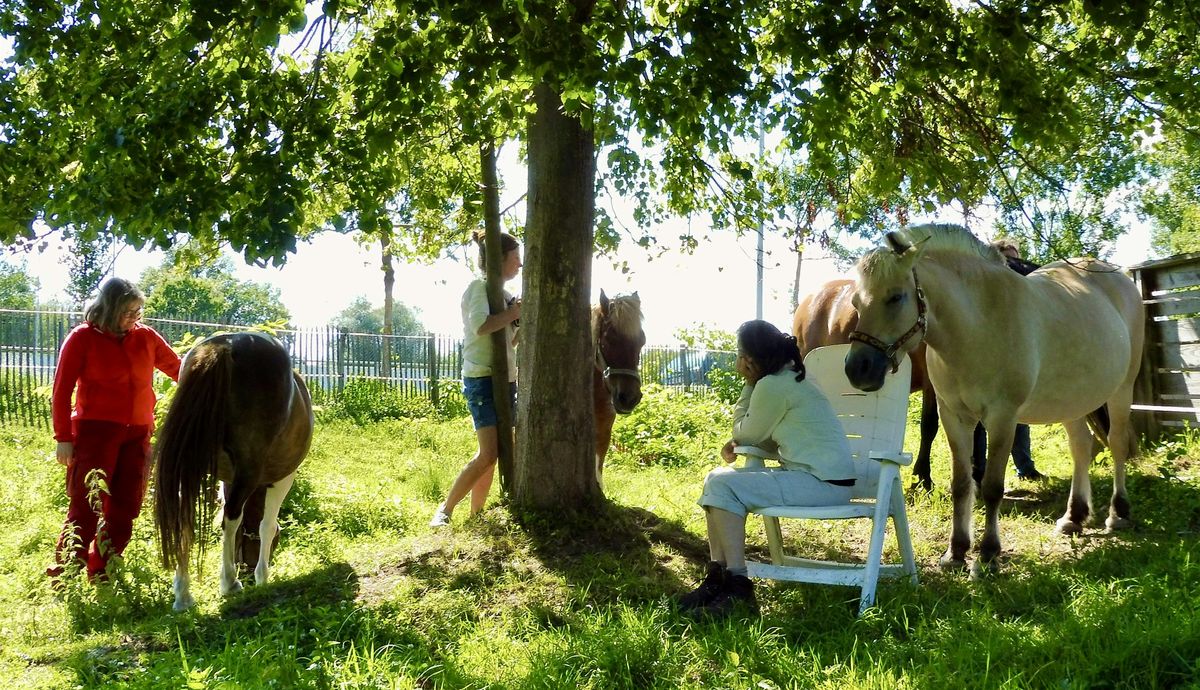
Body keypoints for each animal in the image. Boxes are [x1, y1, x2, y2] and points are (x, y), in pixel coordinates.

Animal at [153, 331, 314, 612]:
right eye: (277, 542)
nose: (247, 573)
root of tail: (228, 345)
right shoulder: (282, 479)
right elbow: (265, 525)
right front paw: (262, 578)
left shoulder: (227, 480)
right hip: (249, 470)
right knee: (231, 517)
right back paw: (229, 583)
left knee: (184, 517)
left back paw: (183, 595)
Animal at [844, 224, 1142, 576]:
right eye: (856, 303)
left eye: (895, 297)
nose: (857, 369)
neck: (980, 324)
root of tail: (1117, 277)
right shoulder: (954, 417)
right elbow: (962, 484)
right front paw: (956, 552)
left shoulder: (1002, 418)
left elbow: (991, 487)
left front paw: (987, 555)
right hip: (1073, 401)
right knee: (1081, 448)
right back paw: (1074, 517)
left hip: (1122, 390)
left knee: (1117, 443)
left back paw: (1118, 513)